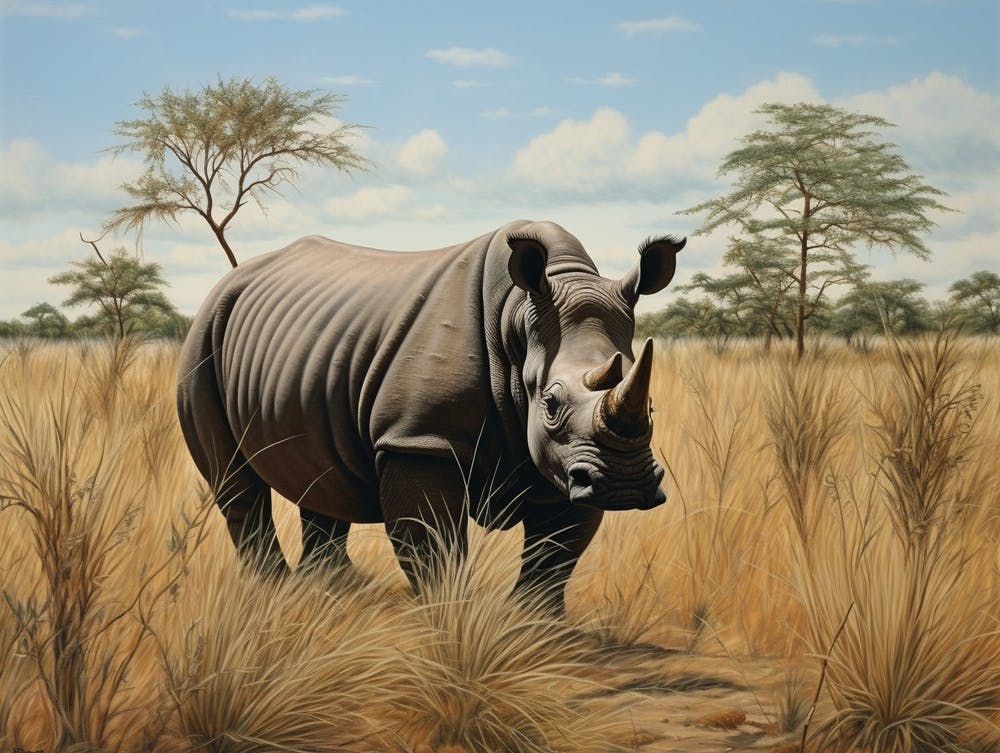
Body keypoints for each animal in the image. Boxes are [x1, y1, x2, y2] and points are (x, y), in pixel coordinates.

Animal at [177, 220, 684, 612]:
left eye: (652, 406)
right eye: (551, 404)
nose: (625, 485)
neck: (518, 321)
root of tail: (229, 283)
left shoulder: (569, 462)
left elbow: (554, 553)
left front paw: (535, 633)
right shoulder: (419, 439)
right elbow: (434, 546)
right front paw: (450, 623)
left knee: (318, 473)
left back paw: (334, 590)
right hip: (202, 341)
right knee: (235, 482)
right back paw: (275, 593)